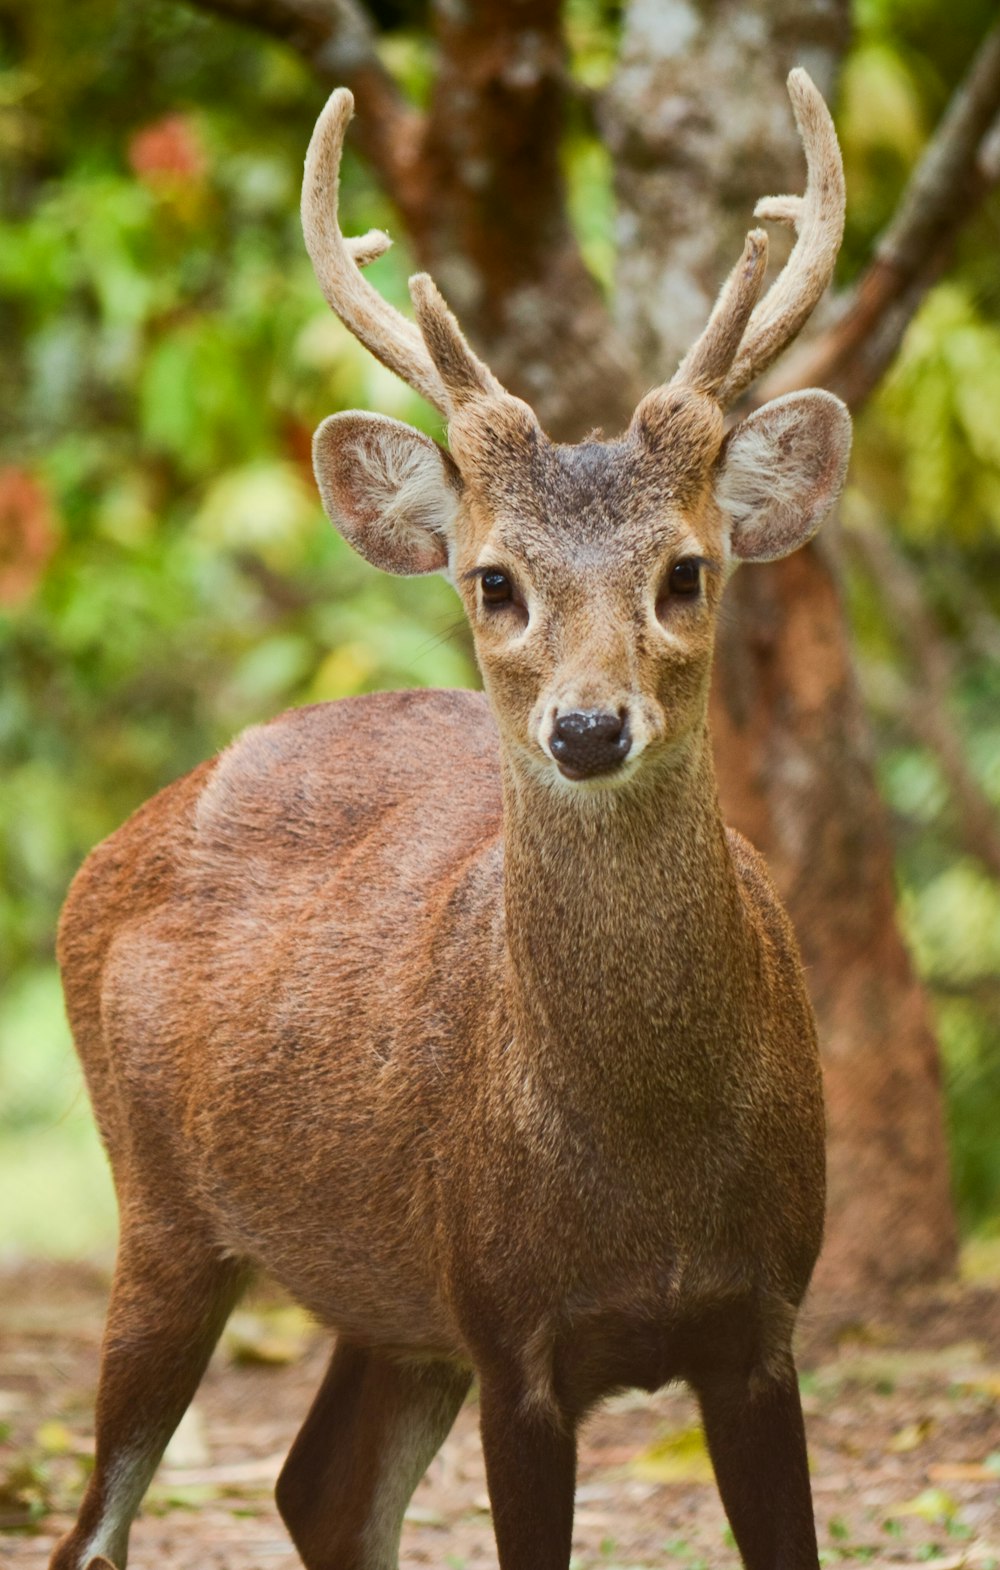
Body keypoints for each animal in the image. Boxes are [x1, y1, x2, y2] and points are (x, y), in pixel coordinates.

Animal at [50, 67, 847, 1570]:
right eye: (493, 582)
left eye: (688, 570)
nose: (588, 729)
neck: (646, 1169)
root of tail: (105, 853)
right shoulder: (507, 1325)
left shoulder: (763, 1318)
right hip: (164, 1212)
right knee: (100, 1526)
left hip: (387, 1300)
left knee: (318, 1483)